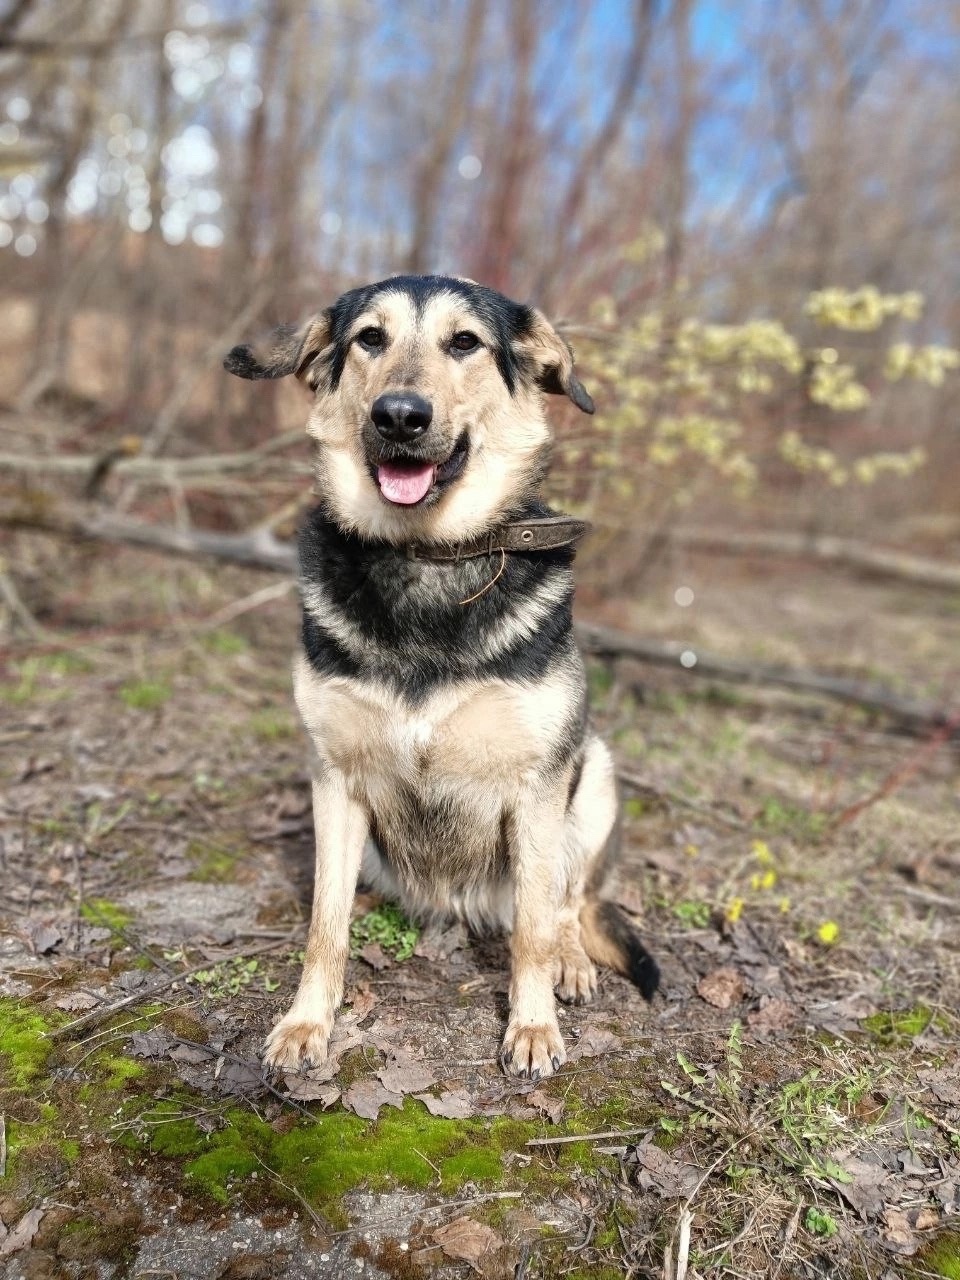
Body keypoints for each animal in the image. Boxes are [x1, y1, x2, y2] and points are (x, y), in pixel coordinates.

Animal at [225, 275, 660, 1075]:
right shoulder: (333, 777)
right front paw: (307, 1021)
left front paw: (532, 1025)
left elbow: (533, 929)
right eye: (369, 337)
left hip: (596, 776)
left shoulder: (539, 783)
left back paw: (572, 960)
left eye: (465, 343)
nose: (399, 415)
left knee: (567, 901)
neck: (427, 555)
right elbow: (323, 924)